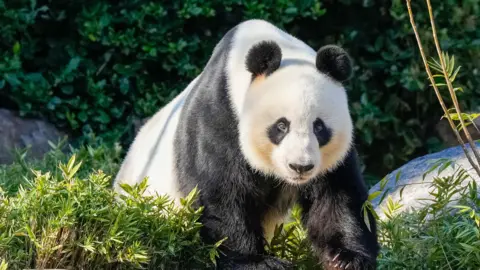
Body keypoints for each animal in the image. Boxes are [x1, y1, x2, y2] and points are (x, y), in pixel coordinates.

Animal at [113, 19, 378, 270]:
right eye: (281, 126)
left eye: (319, 127)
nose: (300, 167)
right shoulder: (220, 116)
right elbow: (221, 195)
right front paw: (256, 262)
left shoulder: (331, 158)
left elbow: (337, 195)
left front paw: (345, 259)